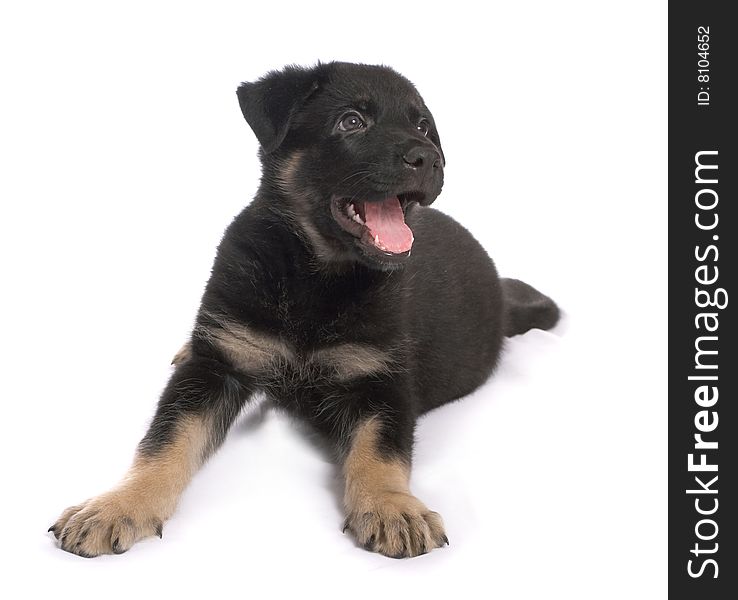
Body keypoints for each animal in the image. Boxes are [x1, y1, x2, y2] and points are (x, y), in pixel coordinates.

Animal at [49, 61, 556, 556]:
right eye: (351, 122)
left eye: (423, 126)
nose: (430, 158)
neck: (315, 274)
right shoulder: (217, 365)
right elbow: (165, 440)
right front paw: (116, 506)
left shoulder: (382, 379)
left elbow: (381, 449)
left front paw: (392, 508)